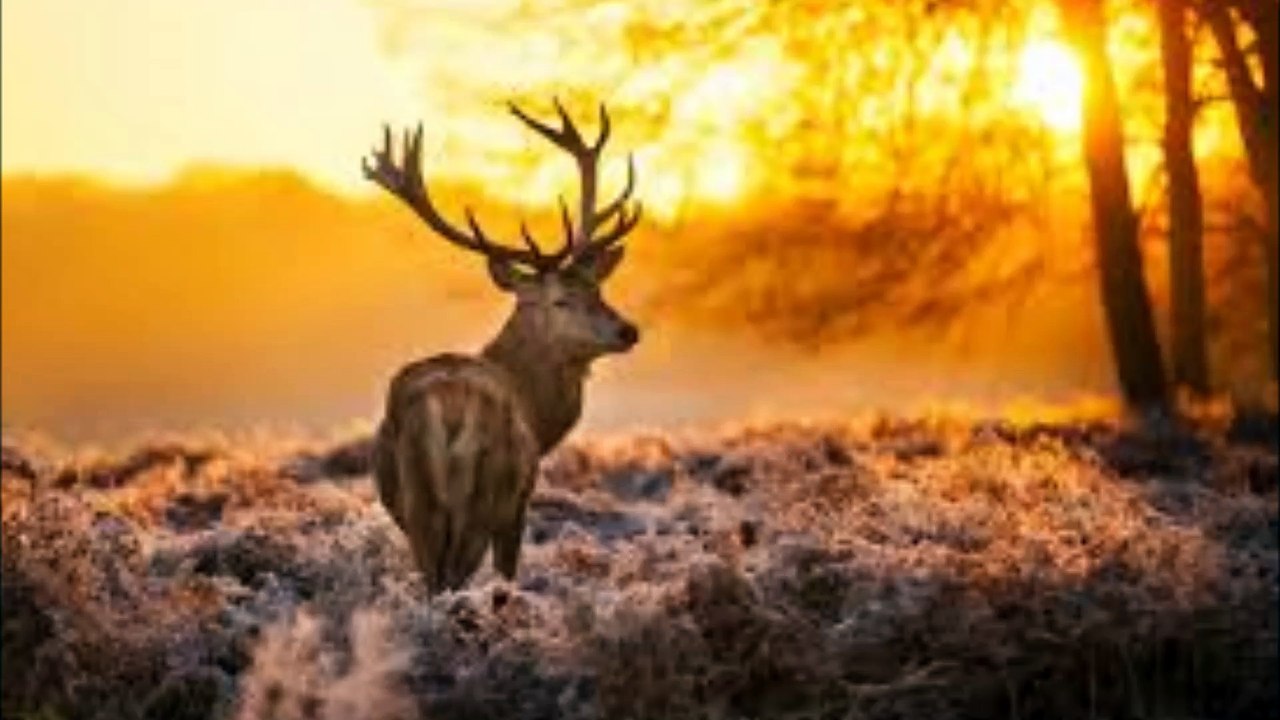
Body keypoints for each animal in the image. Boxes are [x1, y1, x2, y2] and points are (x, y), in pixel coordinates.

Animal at [361, 101, 643, 595]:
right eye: (560, 299)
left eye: (598, 289)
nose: (627, 331)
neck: (538, 412)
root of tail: (448, 409)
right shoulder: (519, 503)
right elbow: (507, 572)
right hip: (485, 497)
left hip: (420, 506)